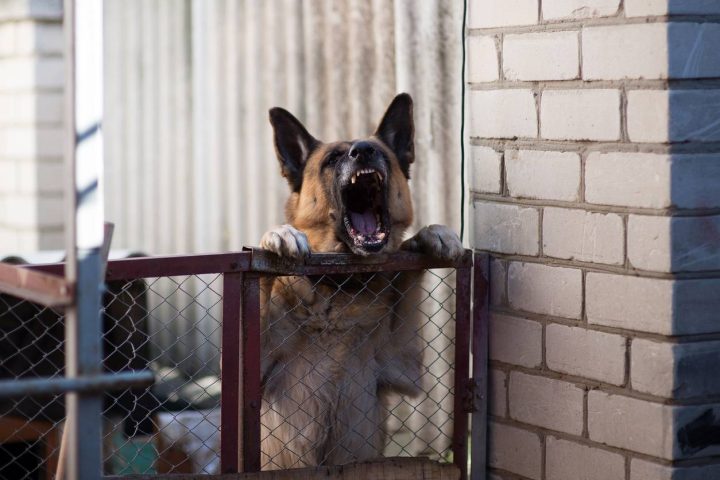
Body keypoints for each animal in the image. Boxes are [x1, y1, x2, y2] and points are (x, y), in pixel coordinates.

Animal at [258, 93, 462, 468]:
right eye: (333, 158)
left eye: (380, 152)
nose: (364, 150)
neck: (340, 288)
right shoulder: (258, 361)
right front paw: (278, 234)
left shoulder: (403, 361)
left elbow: (410, 271)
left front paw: (433, 235)